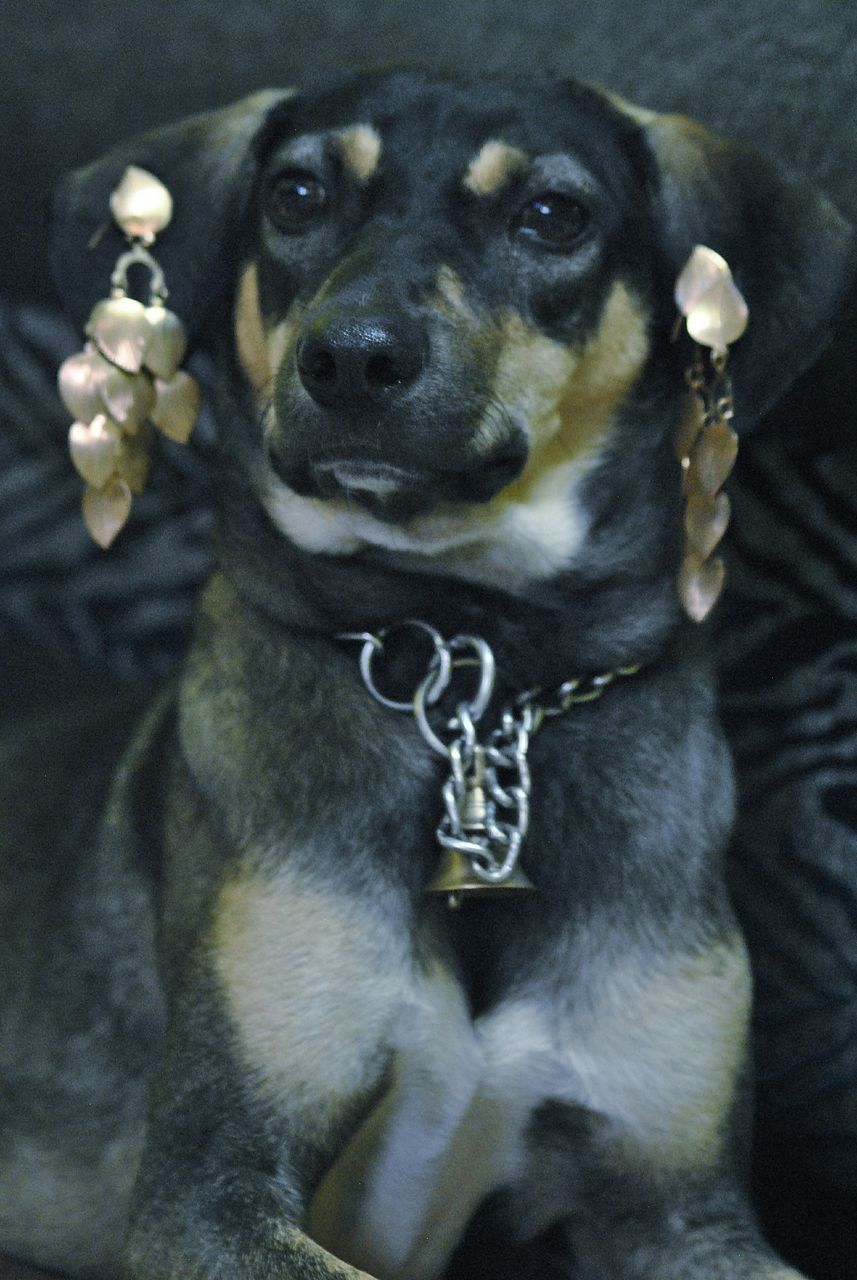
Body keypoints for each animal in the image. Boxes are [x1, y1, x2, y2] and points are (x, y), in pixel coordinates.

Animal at [1, 67, 857, 1280]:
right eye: (296, 193)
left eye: (552, 214)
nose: (352, 359)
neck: (480, 664)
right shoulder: (209, 1179)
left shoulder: (681, 1204)